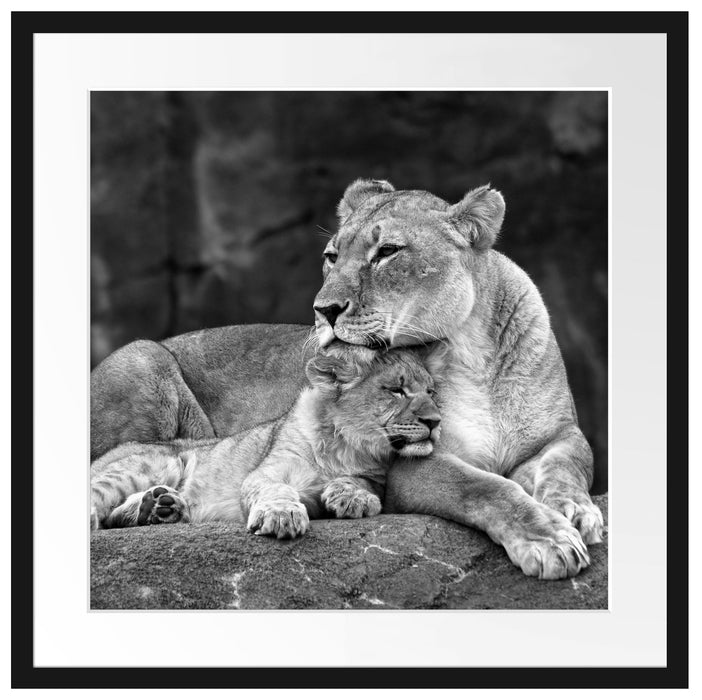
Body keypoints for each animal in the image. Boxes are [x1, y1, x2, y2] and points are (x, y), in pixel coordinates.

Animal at [90, 346, 443, 539]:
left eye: (431, 392)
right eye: (396, 390)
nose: (435, 421)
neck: (346, 446)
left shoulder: (375, 477)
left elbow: (363, 484)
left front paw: (352, 497)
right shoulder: (264, 473)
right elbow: (276, 490)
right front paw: (282, 517)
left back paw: (160, 507)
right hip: (156, 463)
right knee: (100, 500)